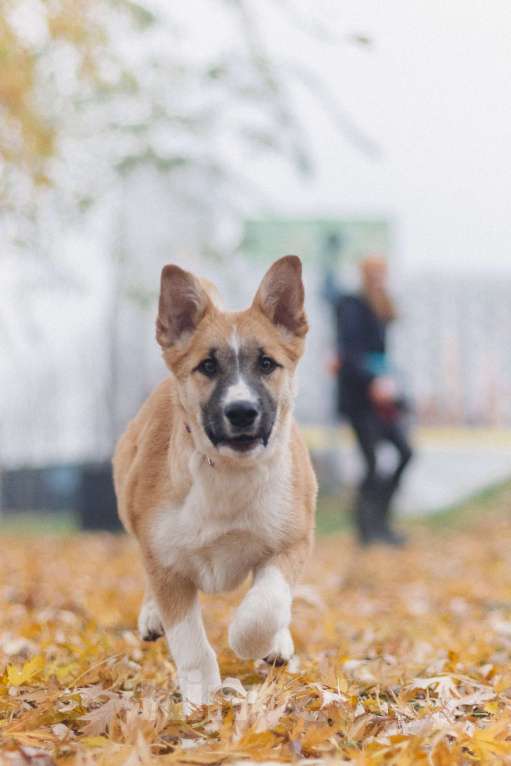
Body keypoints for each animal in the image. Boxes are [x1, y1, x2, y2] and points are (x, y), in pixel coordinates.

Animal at [114, 256, 318, 712]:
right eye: (207, 366)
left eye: (266, 364)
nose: (241, 412)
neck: (228, 475)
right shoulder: (165, 560)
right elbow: (189, 642)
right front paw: (202, 696)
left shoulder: (292, 541)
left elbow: (266, 606)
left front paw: (254, 642)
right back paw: (151, 616)